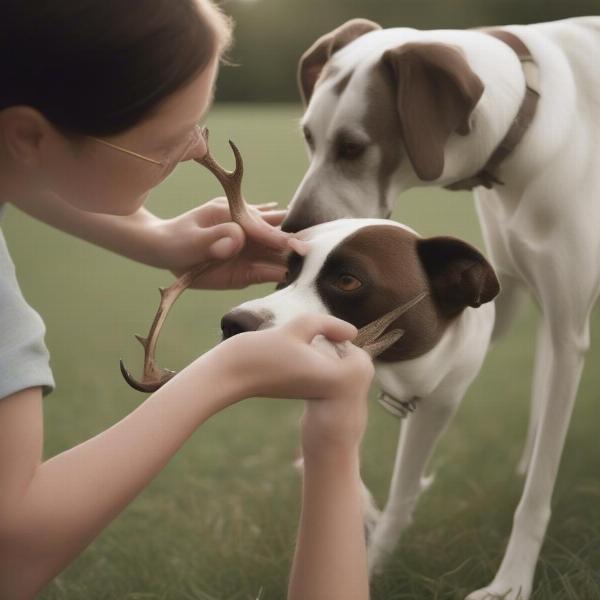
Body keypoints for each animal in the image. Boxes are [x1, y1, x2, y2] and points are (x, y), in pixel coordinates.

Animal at [280, 15, 600, 600]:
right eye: (309, 138)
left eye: (353, 148)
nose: (294, 235)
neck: (527, 119)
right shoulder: (491, 300)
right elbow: (404, 480)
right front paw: (372, 552)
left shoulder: (570, 336)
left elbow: (537, 497)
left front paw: (511, 581)